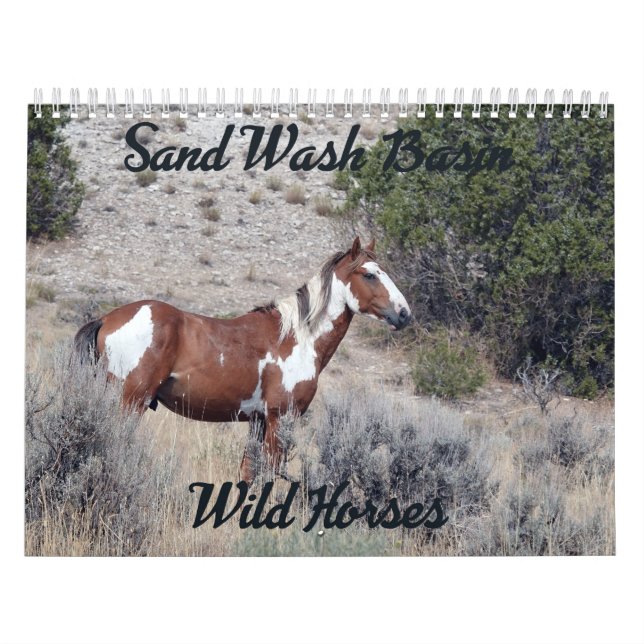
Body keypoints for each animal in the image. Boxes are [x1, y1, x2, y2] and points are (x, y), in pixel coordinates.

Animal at [74, 237, 411, 481]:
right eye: (369, 274)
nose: (404, 313)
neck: (297, 338)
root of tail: (107, 318)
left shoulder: (258, 422)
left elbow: (249, 473)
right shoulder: (279, 419)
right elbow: (269, 475)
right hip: (131, 401)